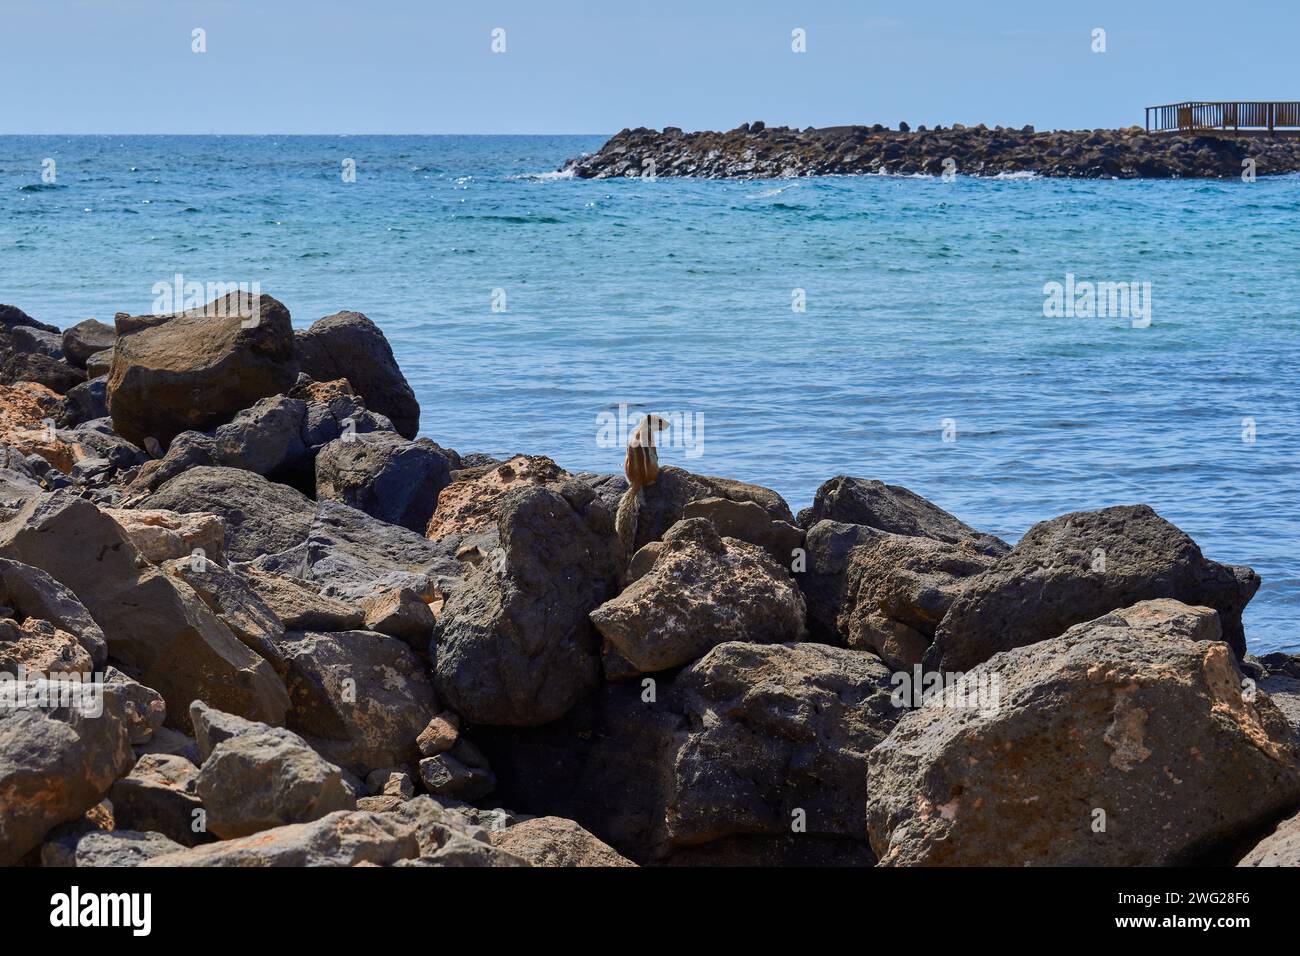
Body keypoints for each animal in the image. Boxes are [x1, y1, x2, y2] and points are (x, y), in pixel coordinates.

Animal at [615, 413, 668, 565]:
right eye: (660, 420)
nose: (668, 424)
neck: (642, 427)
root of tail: (637, 481)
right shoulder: (651, 438)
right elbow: (654, 449)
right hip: (653, 468)